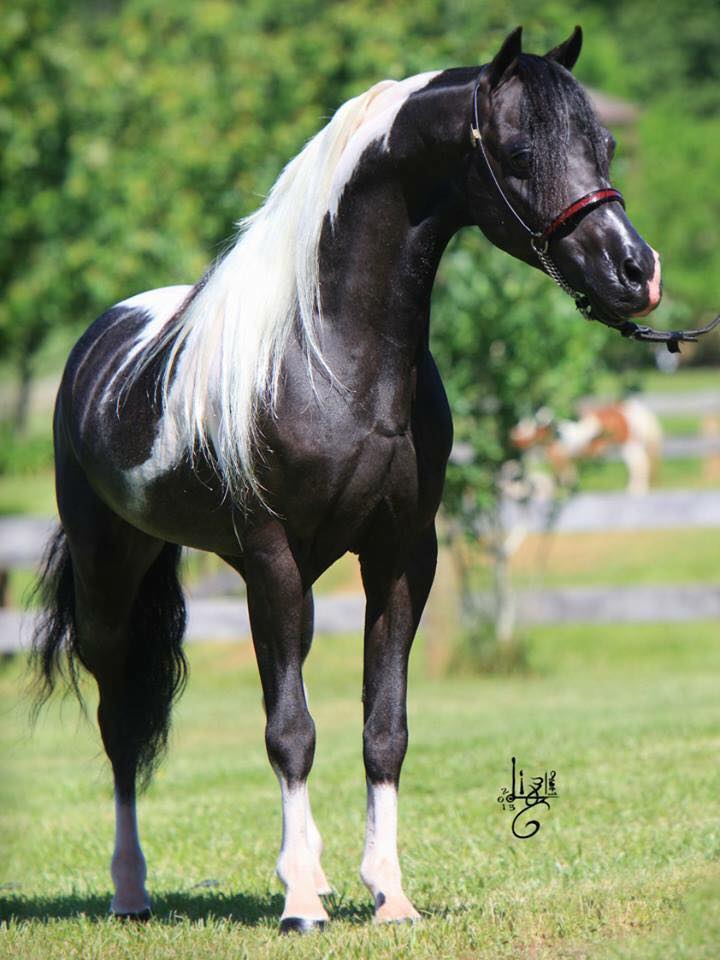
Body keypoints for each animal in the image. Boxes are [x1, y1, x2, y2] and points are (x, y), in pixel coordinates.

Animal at [512, 400, 664, 498]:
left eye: (529, 429)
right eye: (521, 426)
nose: (514, 439)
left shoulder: (558, 458)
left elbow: (561, 477)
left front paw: (563, 493)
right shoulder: (566, 459)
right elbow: (569, 476)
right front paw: (572, 491)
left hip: (629, 445)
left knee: (639, 465)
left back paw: (636, 490)